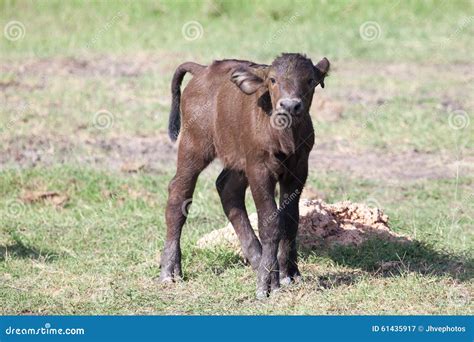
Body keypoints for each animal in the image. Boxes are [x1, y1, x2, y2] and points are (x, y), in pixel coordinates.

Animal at [159, 53, 330, 300]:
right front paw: (267, 284)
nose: (289, 105)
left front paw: (289, 273)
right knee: (178, 193)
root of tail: (202, 70)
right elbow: (270, 222)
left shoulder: (298, 170)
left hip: (237, 160)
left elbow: (290, 219)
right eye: (272, 80)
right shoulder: (259, 170)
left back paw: (257, 259)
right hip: (193, 145)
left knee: (227, 189)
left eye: (309, 80)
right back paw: (169, 270)